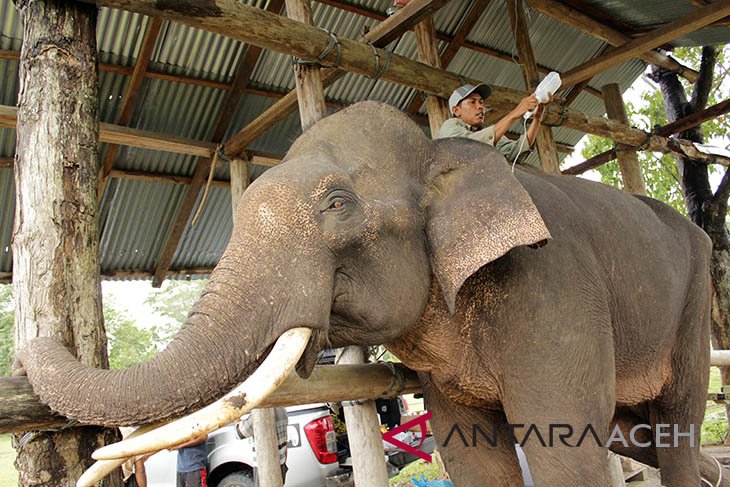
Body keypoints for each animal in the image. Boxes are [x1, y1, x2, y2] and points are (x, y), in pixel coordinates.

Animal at [21, 101, 716, 486]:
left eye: (336, 204)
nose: (35, 338)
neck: (438, 154)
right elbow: (473, 457)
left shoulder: (551, 286)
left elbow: (560, 444)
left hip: (694, 302)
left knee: (678, 421)